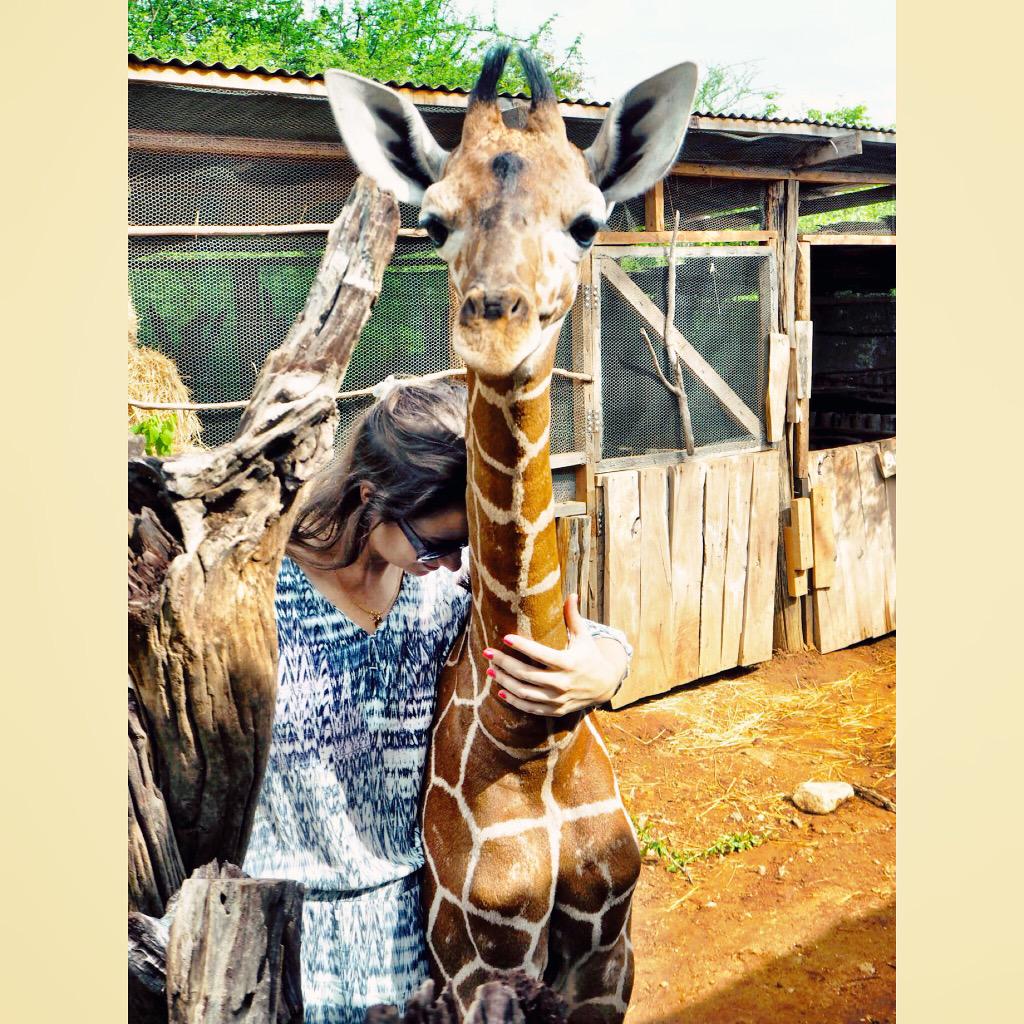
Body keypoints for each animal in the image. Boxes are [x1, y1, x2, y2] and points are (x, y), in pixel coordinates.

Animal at [324, 47, 698, 1022]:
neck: (532, 741)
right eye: (431, 221)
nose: (496, 325)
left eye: (589, 221)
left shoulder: (608, 954)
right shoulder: (477, 968)